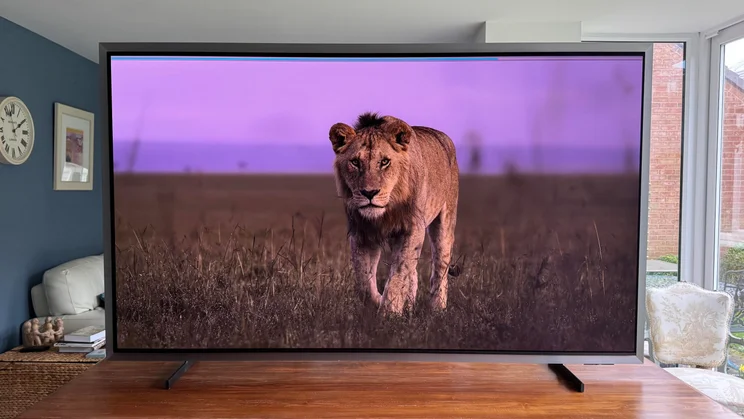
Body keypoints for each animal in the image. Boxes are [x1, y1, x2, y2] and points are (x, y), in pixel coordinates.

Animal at [329, 112, 460, 314]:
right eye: (355, 162)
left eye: (385, 162)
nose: (369, 193)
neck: (385, 212)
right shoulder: (361, 233)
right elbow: (363, 282)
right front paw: (377, 302)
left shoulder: (412, 229)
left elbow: (398, 274)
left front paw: (389, 312)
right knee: (413, 273)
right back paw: (409, 306)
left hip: (445, 221)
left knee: (440, 267)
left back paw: (437, 308)